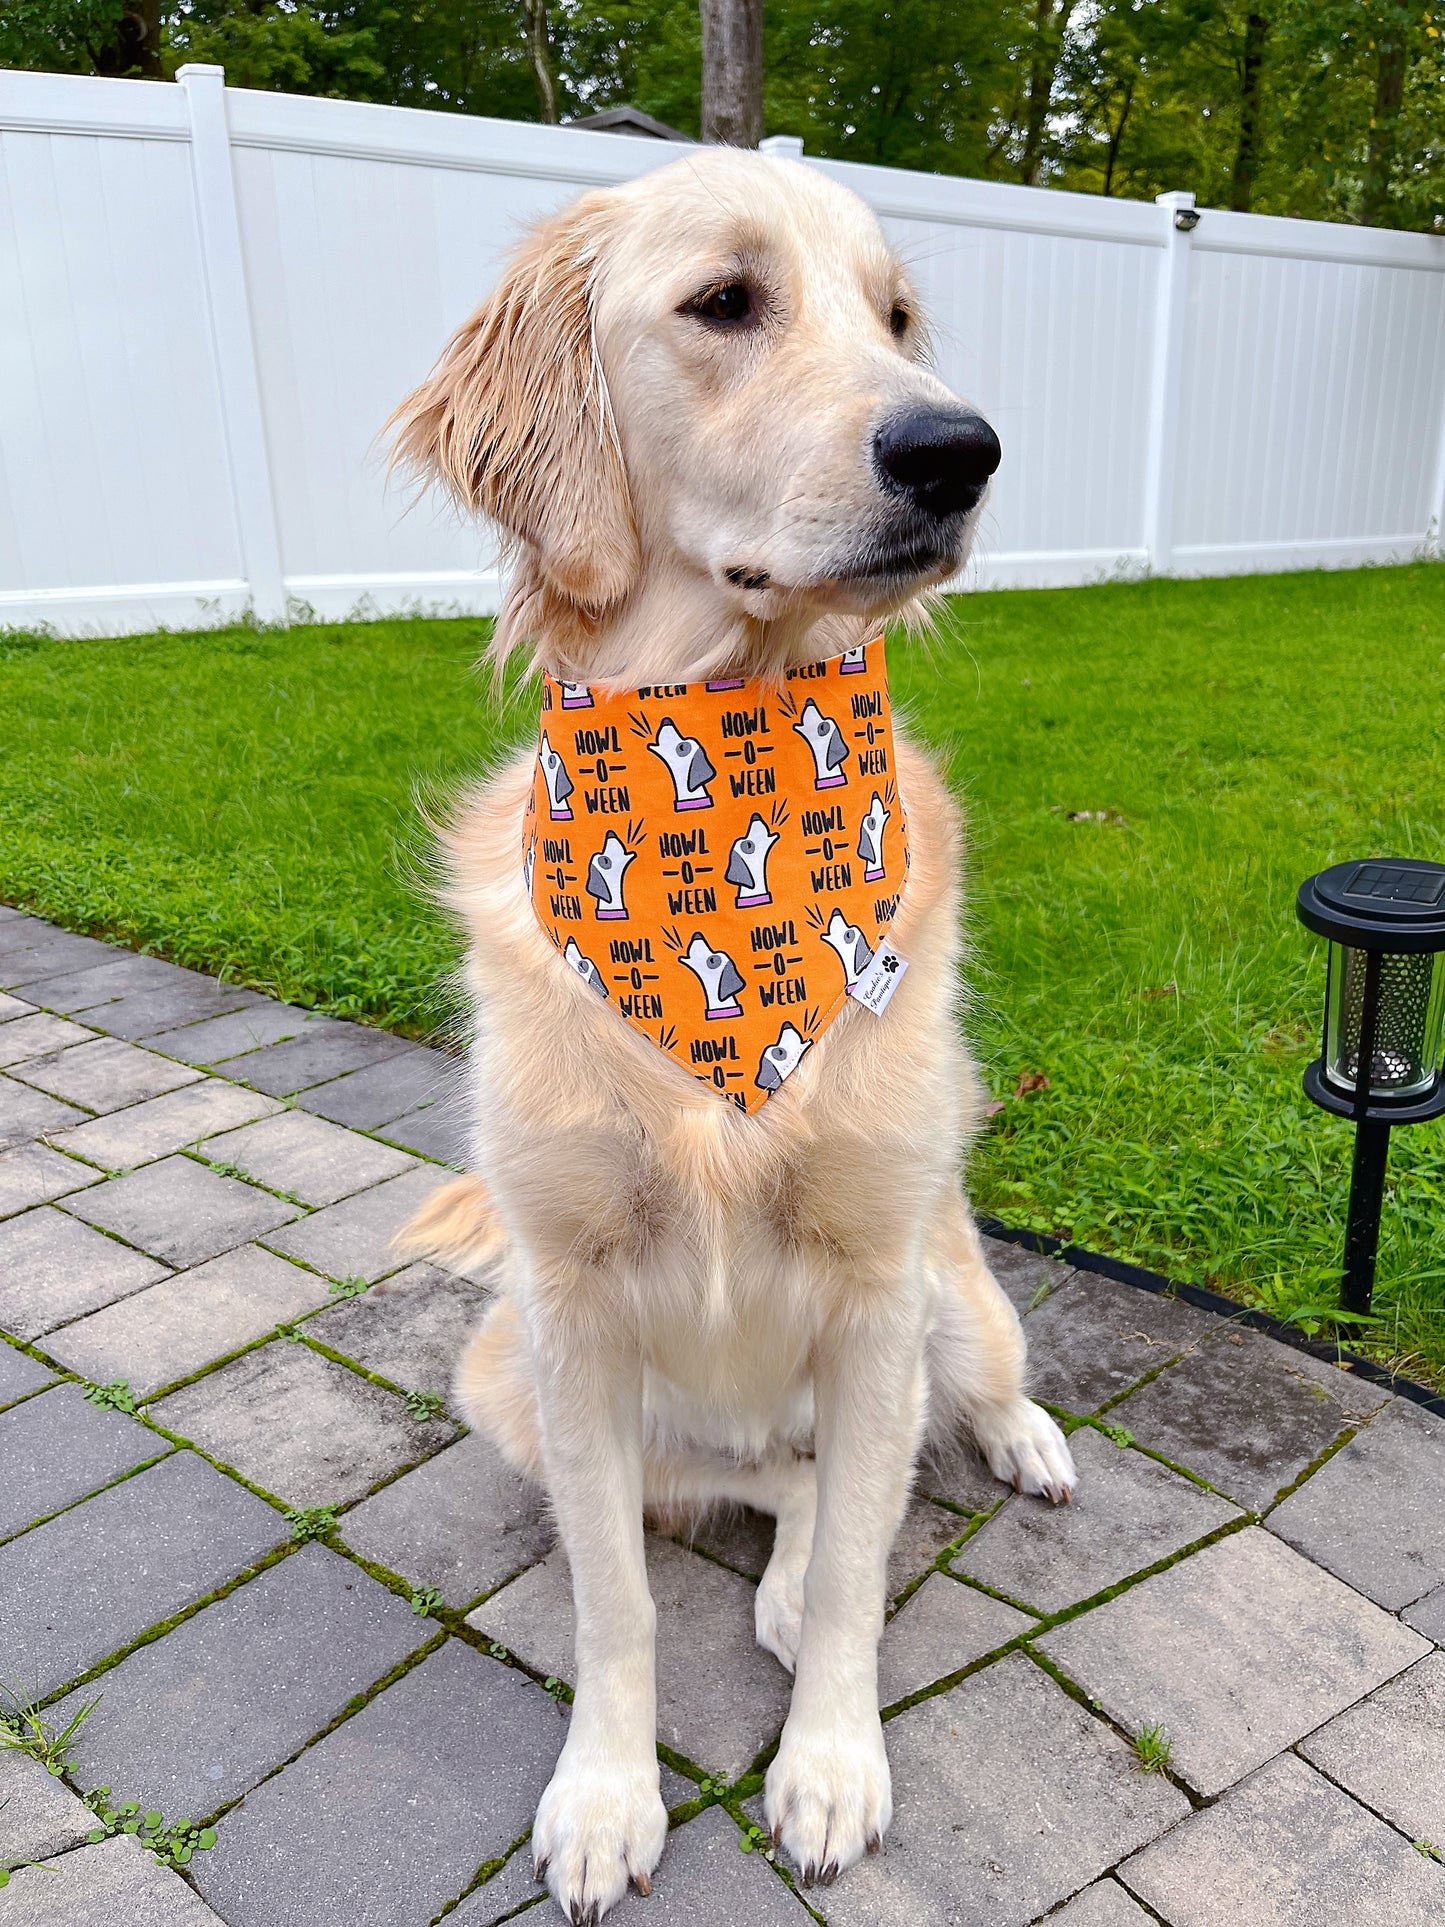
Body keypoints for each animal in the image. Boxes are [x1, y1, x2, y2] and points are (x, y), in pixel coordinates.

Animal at [391, 142, 1078, 1919]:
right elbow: (618, 1596)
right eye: (723, 301)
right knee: (770, 1479)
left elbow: (850, 1577)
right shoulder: (567, 1313)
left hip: (952, 1292)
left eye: (896, 316)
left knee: (935, 1419)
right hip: (498, 1373)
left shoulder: (876, 1281)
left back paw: (1026, 1440)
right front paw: (603, 1794)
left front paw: (829, 1764)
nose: (958, 449)